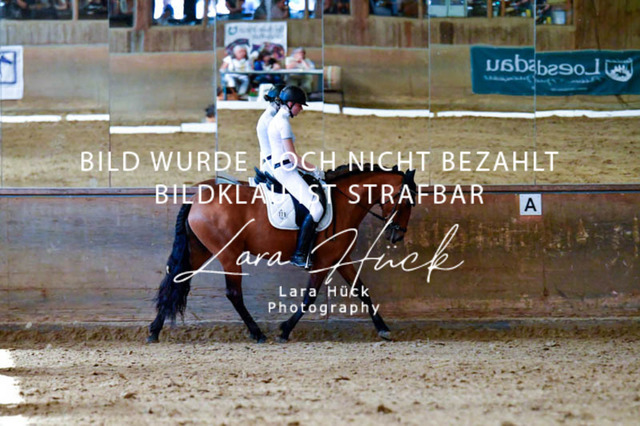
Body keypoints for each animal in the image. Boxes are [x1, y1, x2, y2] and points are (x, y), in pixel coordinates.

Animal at [148, 164, 417, 343]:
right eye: (407, 201)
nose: (397, 235)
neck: (344, 203)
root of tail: (197, 199)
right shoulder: (323, 261)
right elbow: (309, 297)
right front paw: (285, 330)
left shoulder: (341, 259)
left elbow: (363, 291)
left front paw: (383, 328)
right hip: (229, 254)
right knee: (234, 294)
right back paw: (257, 333)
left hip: (200, 250)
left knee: (175, 282)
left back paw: (154, 331)